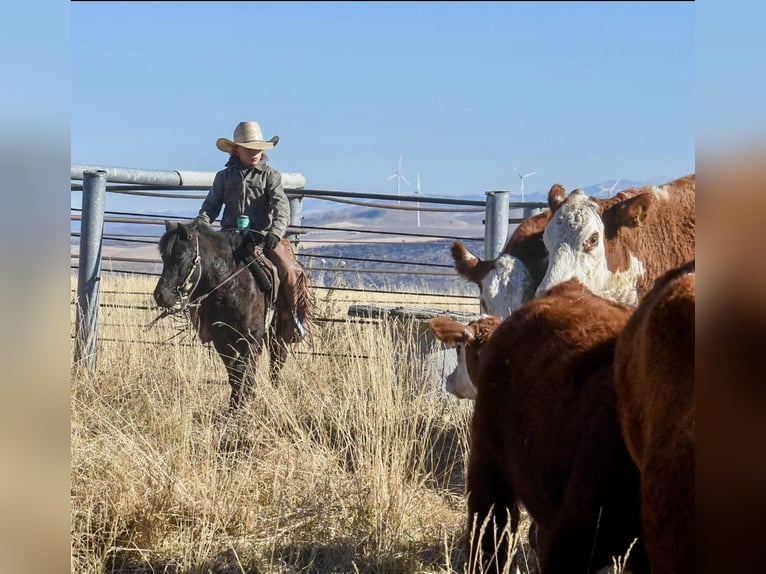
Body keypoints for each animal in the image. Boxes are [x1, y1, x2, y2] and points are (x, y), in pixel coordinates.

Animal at [153, 220, 288, 410]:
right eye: (164, 256)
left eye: (180, 255)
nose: (160, 295)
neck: (230, 287)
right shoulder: (220, 339)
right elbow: (233, 372)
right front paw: (234, 406)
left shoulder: (252, 336)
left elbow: (241, 369)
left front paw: (241, 404)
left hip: (277, 332)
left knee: (277, 360)